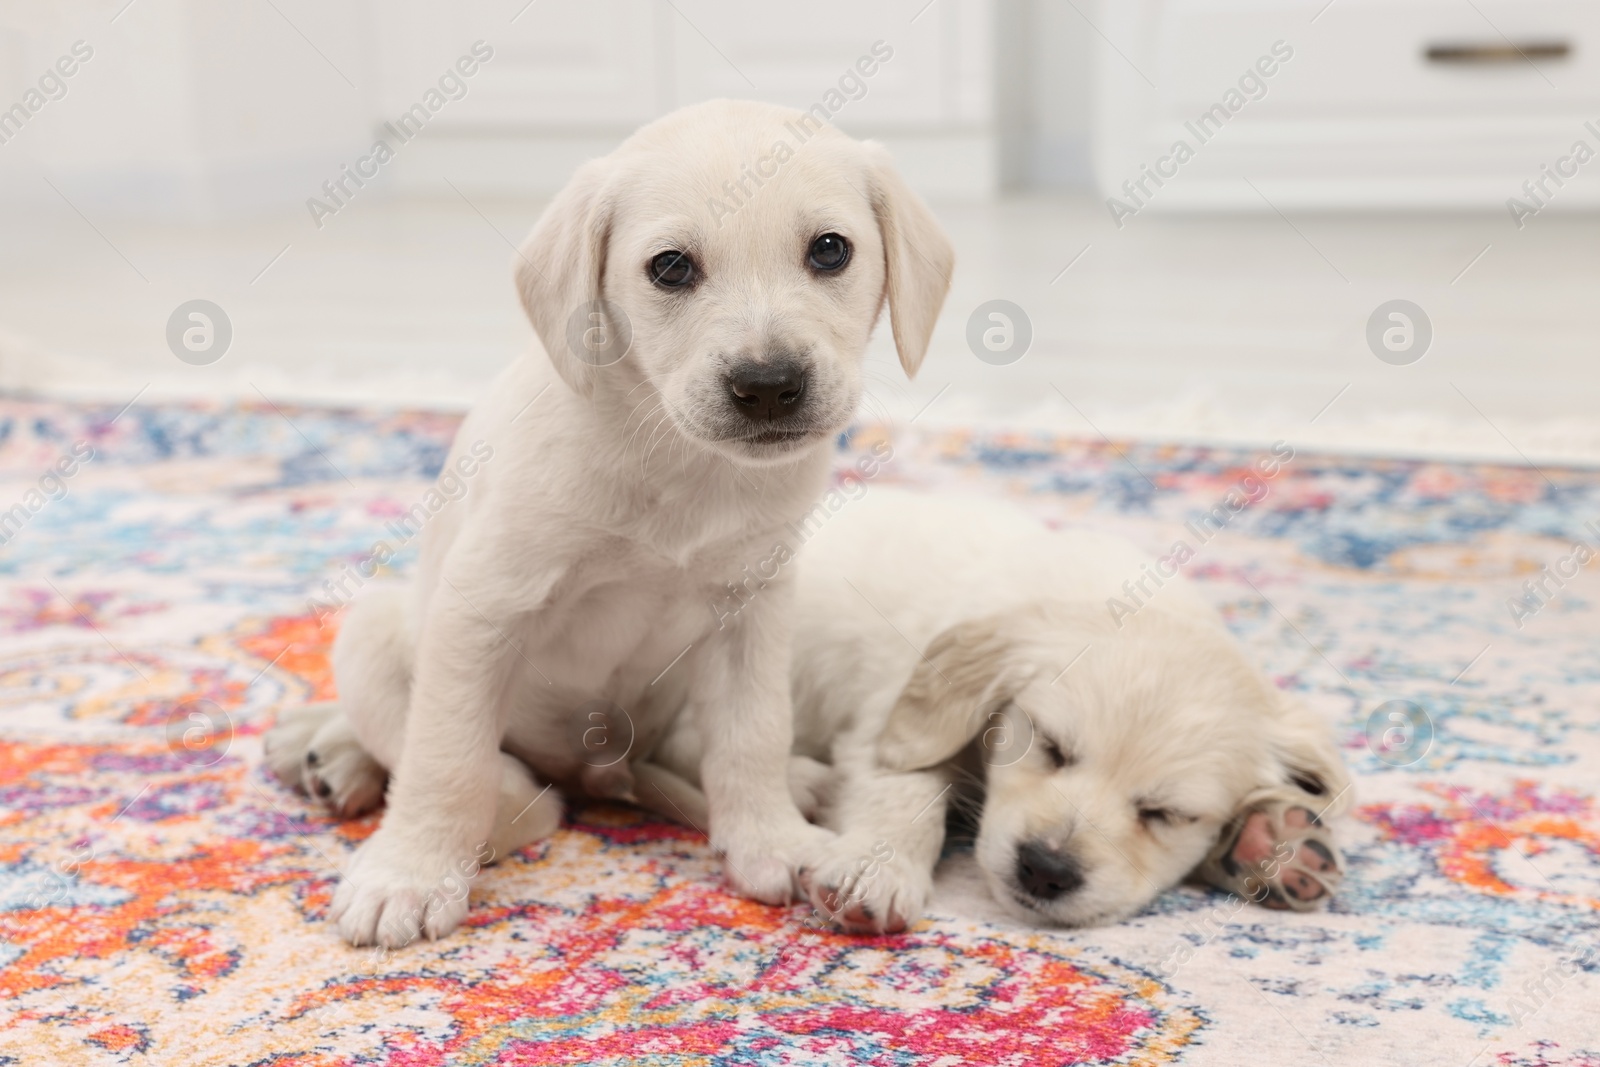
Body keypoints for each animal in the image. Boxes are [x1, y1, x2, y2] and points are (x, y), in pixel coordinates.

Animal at [268, 99, 953, 947]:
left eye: (830, 250)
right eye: (671, 267)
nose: (767, 385)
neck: (676, 456)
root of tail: (600, 770)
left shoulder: (753, 606)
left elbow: (753, 734)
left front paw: (770, 838)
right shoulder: (483, 602)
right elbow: (447, 759)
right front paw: (413, 873)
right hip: (376, 627)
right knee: (465, 765)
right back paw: (345, 758)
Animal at [636, 489, 1350, 934]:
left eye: (1165, 814)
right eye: (1051, 747)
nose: (1045, 869)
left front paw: (1271, 840)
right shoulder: (890, 716)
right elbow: (905, 788)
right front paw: (875, 869)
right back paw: (805, 784)